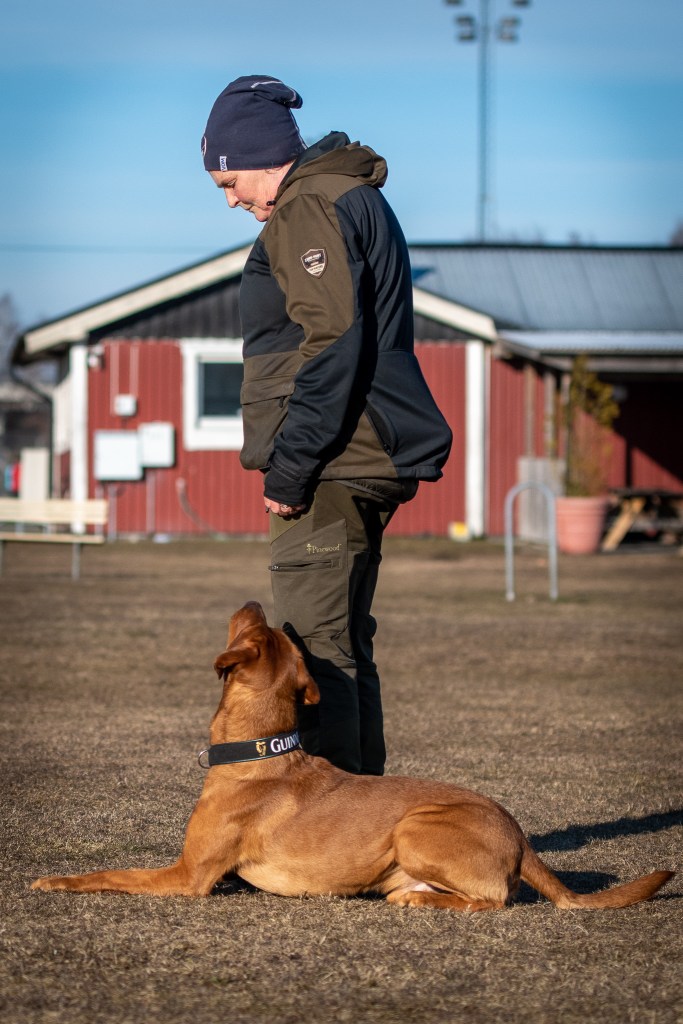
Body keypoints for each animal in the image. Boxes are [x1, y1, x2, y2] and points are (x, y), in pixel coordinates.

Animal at [32, 601, 674, 911]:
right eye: (273, 632)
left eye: (252, 624)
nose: (256, 597)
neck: (257, 751)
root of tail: (520, 836)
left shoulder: (188, 876)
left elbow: (110, 874)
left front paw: (55, 880)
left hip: (415, 827)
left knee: (493, 900)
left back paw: (422, 903)